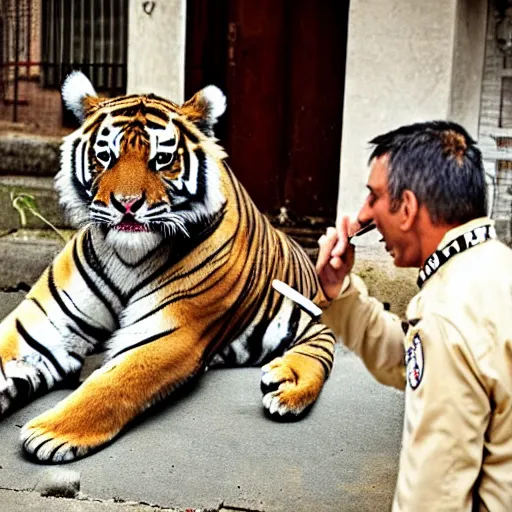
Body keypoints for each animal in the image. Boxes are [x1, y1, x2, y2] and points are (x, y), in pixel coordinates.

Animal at [0, 72, 336, 464]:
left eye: (161, 159)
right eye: (105, 155)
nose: (127, 205)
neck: (127, 259)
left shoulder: (169, 332)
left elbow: (113, 382)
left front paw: (50, 432)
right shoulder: (44, 324)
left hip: (310, 324)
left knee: (317, 353)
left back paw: (286, 387)